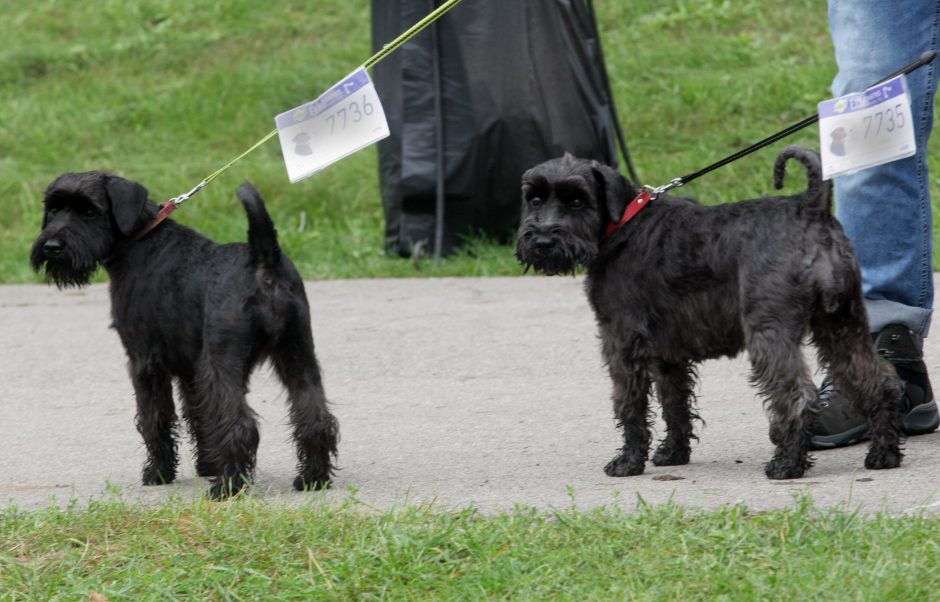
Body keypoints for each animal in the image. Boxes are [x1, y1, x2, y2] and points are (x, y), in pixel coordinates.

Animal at [31, 172, 340, 496]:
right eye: (54, 209)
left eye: (90, 211)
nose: (51, 245)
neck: (139, 240)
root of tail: (265, 265)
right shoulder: (191, 369)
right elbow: (199, 415)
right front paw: (207, 464)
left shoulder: (145, 363)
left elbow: (156, 418)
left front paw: (158, 472)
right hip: (297, 354)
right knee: (315, 414)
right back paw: (312, 477)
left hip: (221, 362)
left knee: (240, 425)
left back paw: (227, 486)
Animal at [516, 146, 908, 478]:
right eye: (534, 198)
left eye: (577, 200)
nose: (543, 240)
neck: (622, 225)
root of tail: (810, 207)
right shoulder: (667, 354)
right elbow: (674, 404)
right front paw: (672, 453)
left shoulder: (622, 342)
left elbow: (630, 404)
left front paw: (628, 462)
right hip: (843, 325)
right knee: (879, 382)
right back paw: (883, 454)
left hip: (770, 331)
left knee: (798, 396)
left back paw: (786, 464)